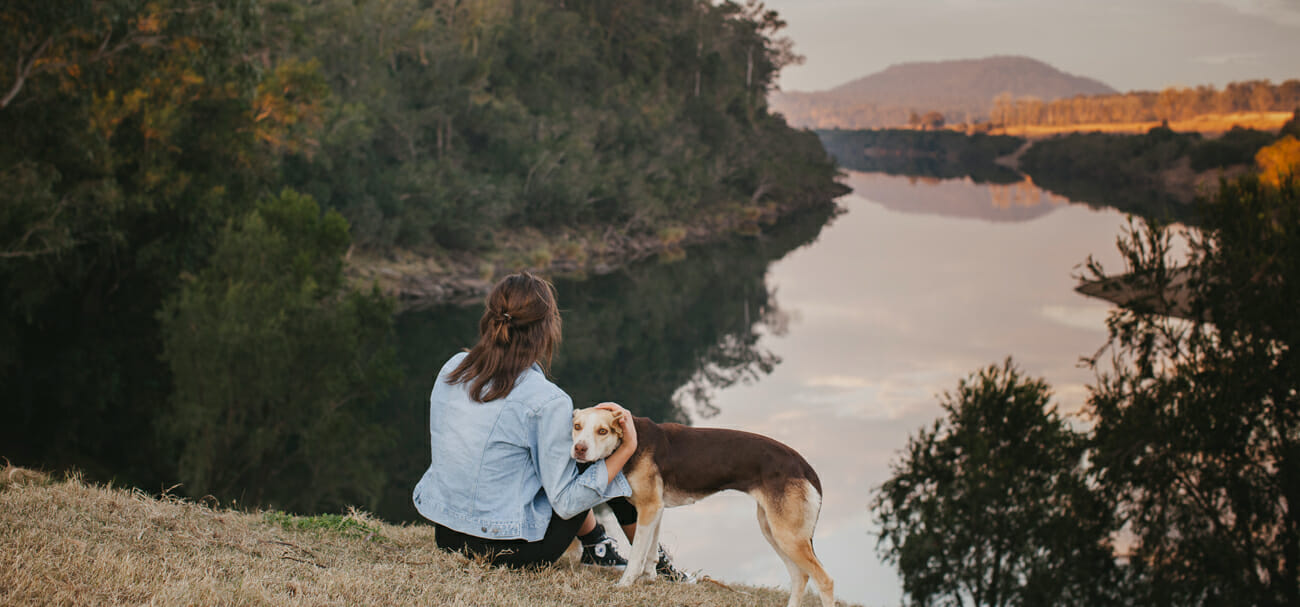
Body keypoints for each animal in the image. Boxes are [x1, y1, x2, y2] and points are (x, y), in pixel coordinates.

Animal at [569, 402, 832, 607]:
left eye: (602, 431)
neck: (631, 442)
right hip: (773, 529)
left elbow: (636, 555)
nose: (579, 449)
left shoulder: (649, 508)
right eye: (577, 427)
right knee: (800, 576)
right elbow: (651, 550)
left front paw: (625, 583)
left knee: (824, 581)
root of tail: (804, 466)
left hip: (788, 535)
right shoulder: (655, 509)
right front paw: (649, 577)